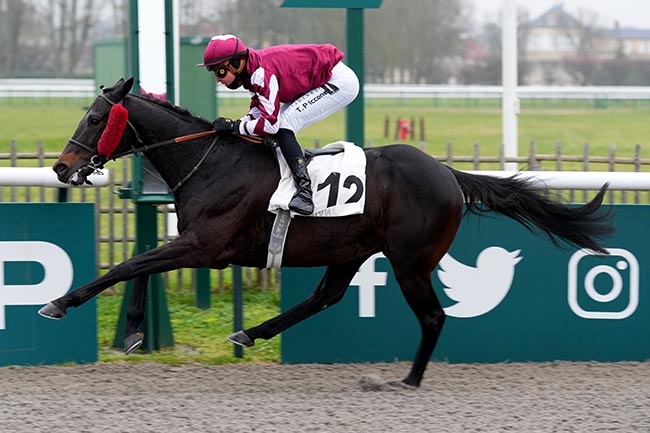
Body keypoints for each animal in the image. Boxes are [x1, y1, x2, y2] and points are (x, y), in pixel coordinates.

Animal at [38, 78, 612, 388]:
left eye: (95, 119)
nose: (63, 168)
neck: (211, 160)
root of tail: (449, 174)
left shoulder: (206, 246)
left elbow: (129, 264)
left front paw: (61, 302)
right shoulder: (196, 245)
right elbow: (138, 265)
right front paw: (134, 331)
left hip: (409, 262)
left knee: (431, 316)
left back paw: (409, 378)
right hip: (351, 249)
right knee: (325, 296)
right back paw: (250, 332)